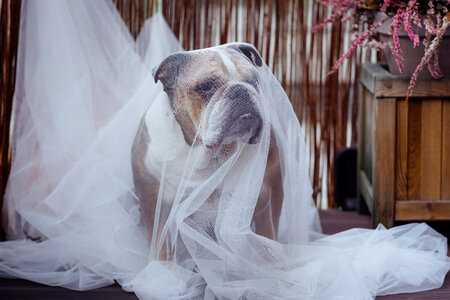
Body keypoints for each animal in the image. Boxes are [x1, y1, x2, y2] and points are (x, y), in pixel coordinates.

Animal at [132, 42, 284, 260]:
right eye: (206, 86)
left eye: (254, 81)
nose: (240, 89)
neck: (211, 155)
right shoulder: (153, 202)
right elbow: (161, 250)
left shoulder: (267, 197)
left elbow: (268, 239)